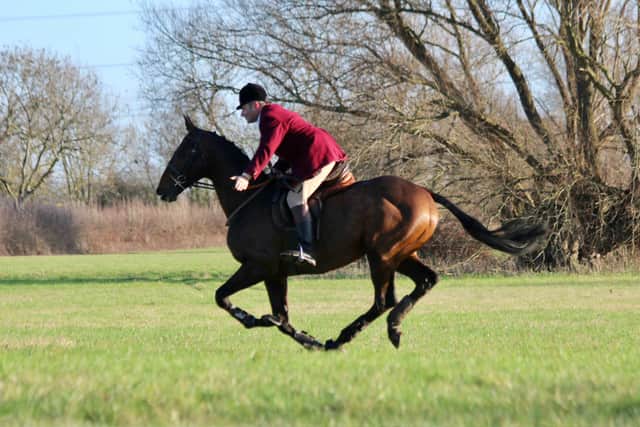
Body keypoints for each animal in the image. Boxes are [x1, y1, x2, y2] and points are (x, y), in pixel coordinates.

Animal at [156, 116, 546, 350]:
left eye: (186, 149)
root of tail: (425, 192)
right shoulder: (275, 272)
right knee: (425, 281)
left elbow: (222, 297)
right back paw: (390, 329)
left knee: (383, 301)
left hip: (383, 255)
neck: (247, 198)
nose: (162, 190)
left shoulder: (257, 267)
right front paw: (307, 340)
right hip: (402, 254)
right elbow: (282, 317)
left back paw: (351, 335)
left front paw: (253, 319)